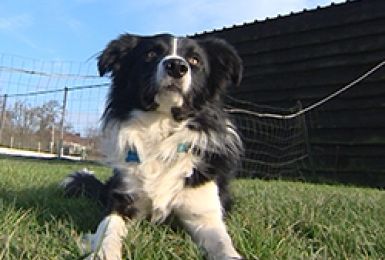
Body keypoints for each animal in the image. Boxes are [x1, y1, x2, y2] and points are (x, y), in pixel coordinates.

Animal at [63, 33, 243, 258]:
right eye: (150, 54)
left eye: (194, 60)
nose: (176, 66)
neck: (161, 127)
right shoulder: (123, 202)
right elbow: (108, 230)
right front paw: (104, 253)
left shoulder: (204, 214)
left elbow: (223, 243)